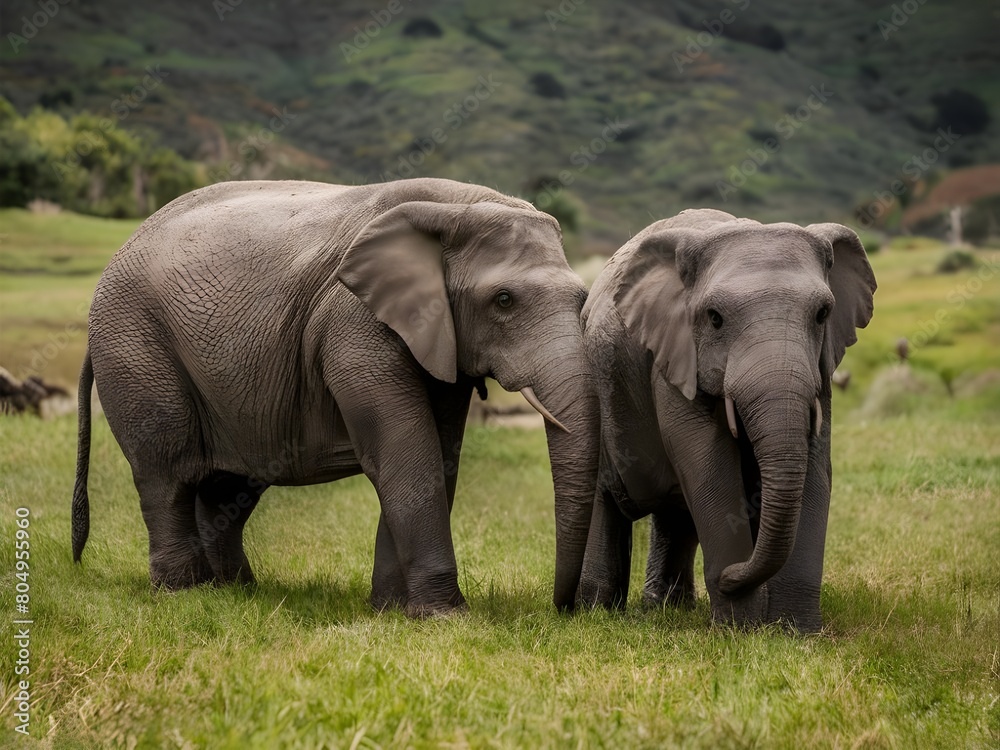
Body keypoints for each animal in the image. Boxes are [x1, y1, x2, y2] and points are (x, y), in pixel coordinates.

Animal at [71, 178, 599, 618]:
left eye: (582, 300)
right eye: (504, 300)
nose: (562, 609)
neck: (456, 207)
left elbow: (438, 453)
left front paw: (391, 613)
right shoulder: (354, 324)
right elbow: (406, 454)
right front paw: (446, 618)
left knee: (228, 486)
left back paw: (233, 591)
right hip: (135, 345)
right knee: (168, 473)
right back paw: (183, 594)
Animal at [578, 209, 875, 631]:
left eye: (822, 314)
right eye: (715, 319)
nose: (729, 576)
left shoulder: (821, 367)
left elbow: (817, 468)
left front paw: (795, 631)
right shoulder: (675, 357)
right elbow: (708, 466)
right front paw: (741, 628)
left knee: (674, 512)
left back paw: (666, 608)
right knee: (609, 498)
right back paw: (596, 611)